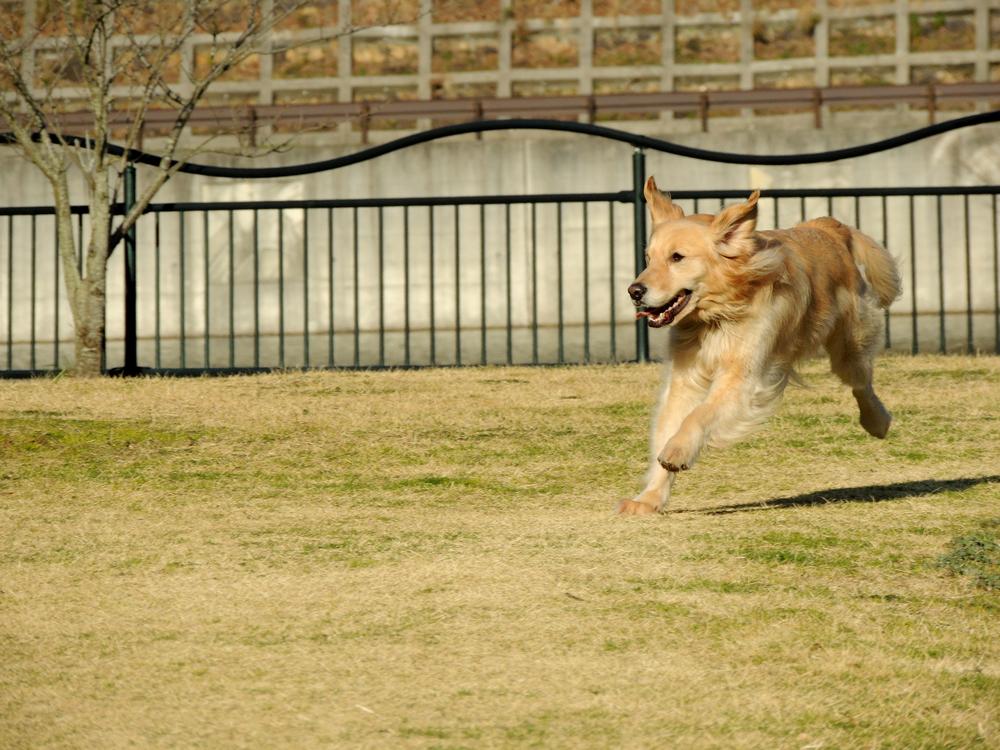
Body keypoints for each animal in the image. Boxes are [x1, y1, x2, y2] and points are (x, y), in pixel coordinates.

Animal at [618, 177, 901, 515]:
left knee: (862, 384)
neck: (716, 317)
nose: (634, 291)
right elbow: (671, 423)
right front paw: (649, 498)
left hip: (848, 347)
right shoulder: (684, 378)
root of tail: (827, 226)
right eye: (649, 258)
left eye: (677, 257)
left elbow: (698, 415)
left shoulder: (741, 377)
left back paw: (877, 421)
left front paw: (678, 451)